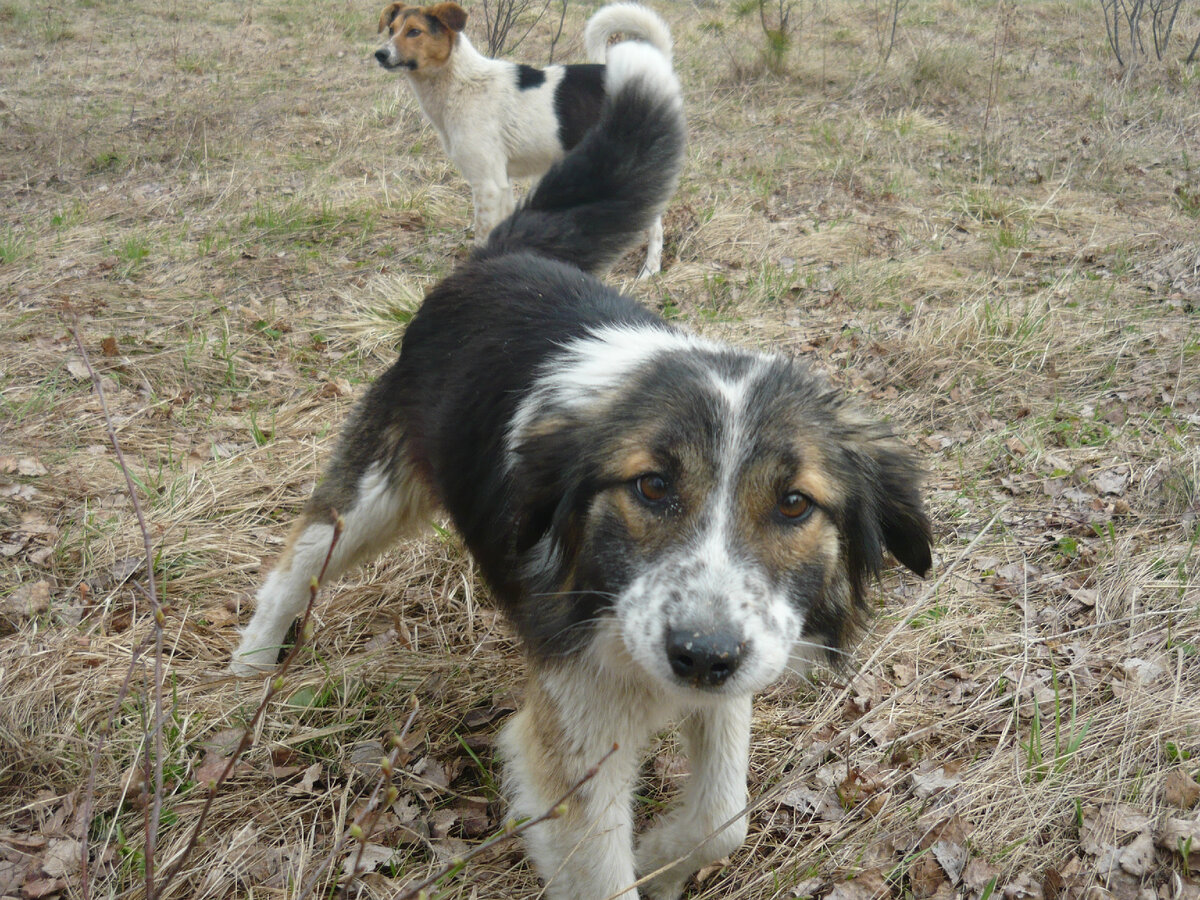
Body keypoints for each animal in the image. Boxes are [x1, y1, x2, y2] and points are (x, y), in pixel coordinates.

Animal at [229, 40, 931, 900]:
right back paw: (249, 669)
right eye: (652, 487)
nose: (700, 656)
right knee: (297, 561)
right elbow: (600, 862)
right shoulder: (573, 728)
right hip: (376, 495)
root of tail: (502, 255)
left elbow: (723, 816)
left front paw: (661, 856)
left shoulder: (737, 666)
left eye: (795, 504)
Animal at [374, 0, 676, 278]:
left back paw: (650, 269)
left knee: (654, 224)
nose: (380, 54)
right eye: (391, 29)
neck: (461, 83)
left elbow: (482, 235)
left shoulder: (487, 184)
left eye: (415, 31)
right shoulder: (502, 183)